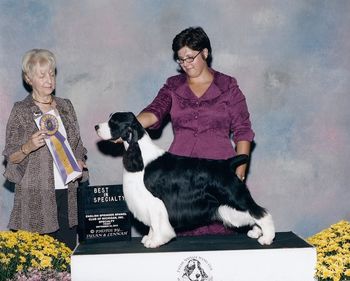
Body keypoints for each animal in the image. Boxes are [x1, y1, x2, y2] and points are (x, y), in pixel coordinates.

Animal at [95, 111, 274, 247]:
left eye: (113, 122)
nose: (96, 126)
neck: (140, 154)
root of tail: (227, 163)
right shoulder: (149, 203)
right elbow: (153, 224)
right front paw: (149, 238)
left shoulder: (154, 200)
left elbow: (157, 222)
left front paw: (155, 241)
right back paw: (256, 232)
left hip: (234, 196)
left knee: (260, 212)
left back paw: (266, 237)